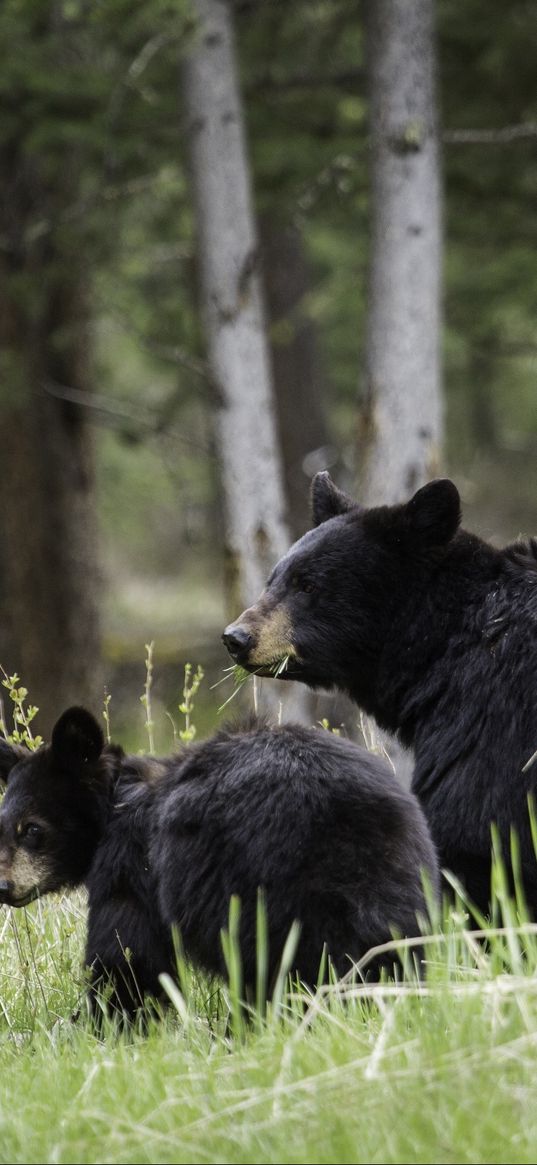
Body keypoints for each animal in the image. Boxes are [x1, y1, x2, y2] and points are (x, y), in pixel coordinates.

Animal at [0, 703, 435, 1015]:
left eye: (32, 828)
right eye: (2, 825)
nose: (3, 886)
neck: (117, 801)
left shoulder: (132, 865)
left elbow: (127, 956)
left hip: (261, 888)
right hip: (401, 879)